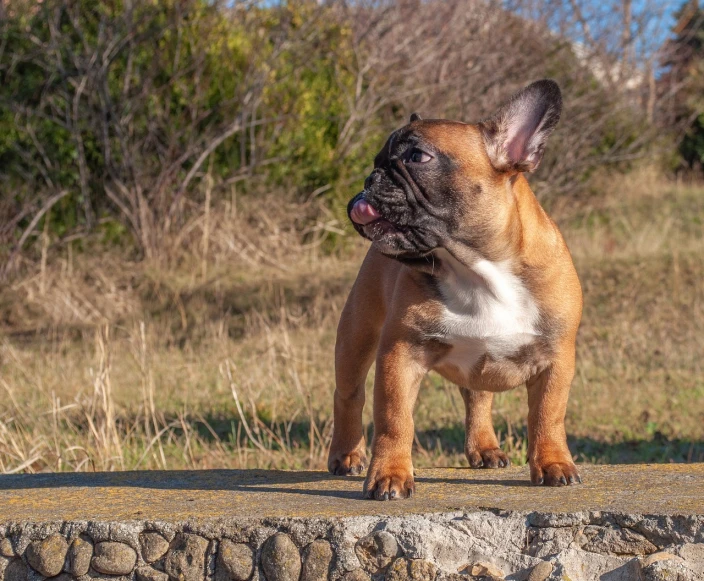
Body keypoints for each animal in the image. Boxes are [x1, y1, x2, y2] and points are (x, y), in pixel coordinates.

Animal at [330, 80, 584, 498]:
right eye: (377, 159)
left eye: (417, 156)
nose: (370, 178)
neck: (478, 270)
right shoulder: (400, 354)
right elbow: (394, 419)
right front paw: (390, 475)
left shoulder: (556, 358)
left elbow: (548, 415)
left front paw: (553, 464)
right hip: (356, 335)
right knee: (349, 395)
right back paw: (346, 456)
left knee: (477, 396)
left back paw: (485, 448)